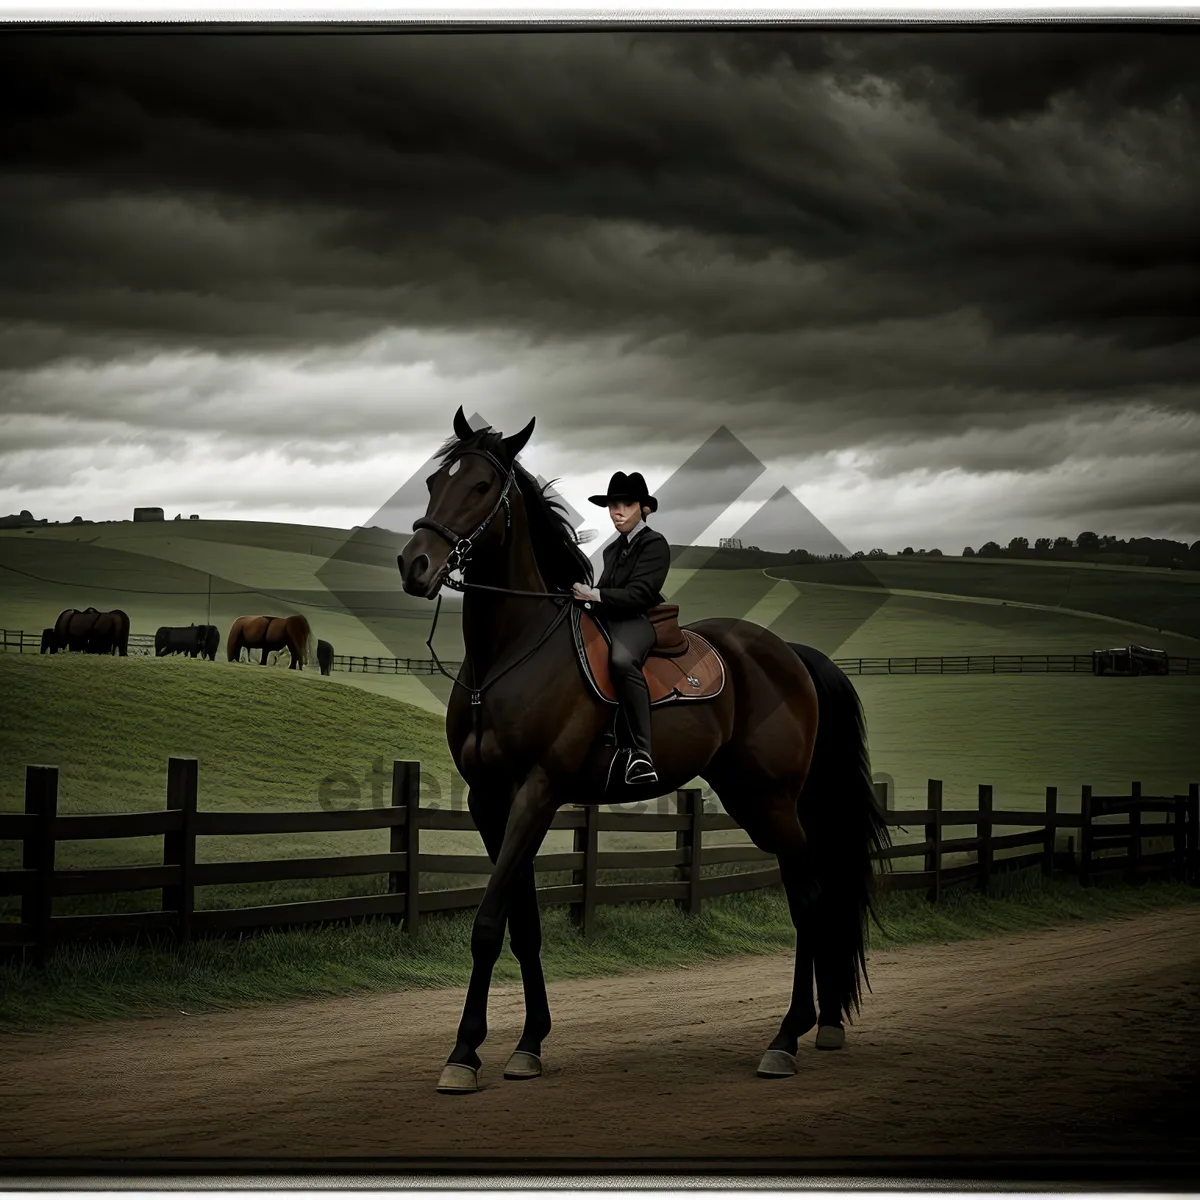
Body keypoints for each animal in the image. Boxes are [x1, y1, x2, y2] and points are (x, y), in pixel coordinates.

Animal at [398, 408, 888, 1094]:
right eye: (433, 482)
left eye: (479, 487)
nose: (414, 565)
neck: (510, 651)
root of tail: (790, 653)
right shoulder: (488, 801)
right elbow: (523, 926)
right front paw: (528, 1043)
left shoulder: (537, 793)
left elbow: (489, 924)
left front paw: (464, 1054)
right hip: (759, 799)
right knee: (811, 894)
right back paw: (823, 1025)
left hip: (770, 801)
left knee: (810, 899)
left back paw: (786, 1038)